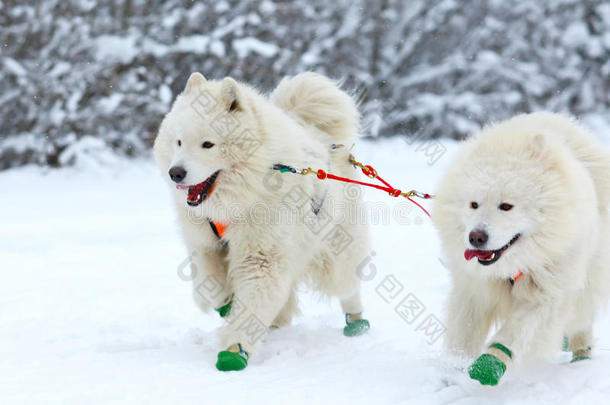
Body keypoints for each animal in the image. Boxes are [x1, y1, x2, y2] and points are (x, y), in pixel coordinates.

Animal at [152, 72, 370, 370]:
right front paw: (226, 305)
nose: (175, 173)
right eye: (178, 142)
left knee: (347, 286)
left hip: (334, 252)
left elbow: (252, 304)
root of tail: (326, 140)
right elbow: (210, 288)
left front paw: (235, 350)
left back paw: (356, 323)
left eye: (207, 144)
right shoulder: (205, 245)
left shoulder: (262, 257)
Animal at [432, 111, 608, 386]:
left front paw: (488, 365)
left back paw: (581, 353)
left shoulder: (547, 292)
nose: (476, 237)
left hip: (588, 276)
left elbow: (515, 332)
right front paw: (452, 371)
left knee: (581, 317)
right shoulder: (473, 289)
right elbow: (463, 333)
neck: (511, 267)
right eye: (473, 204)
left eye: (506, 206)